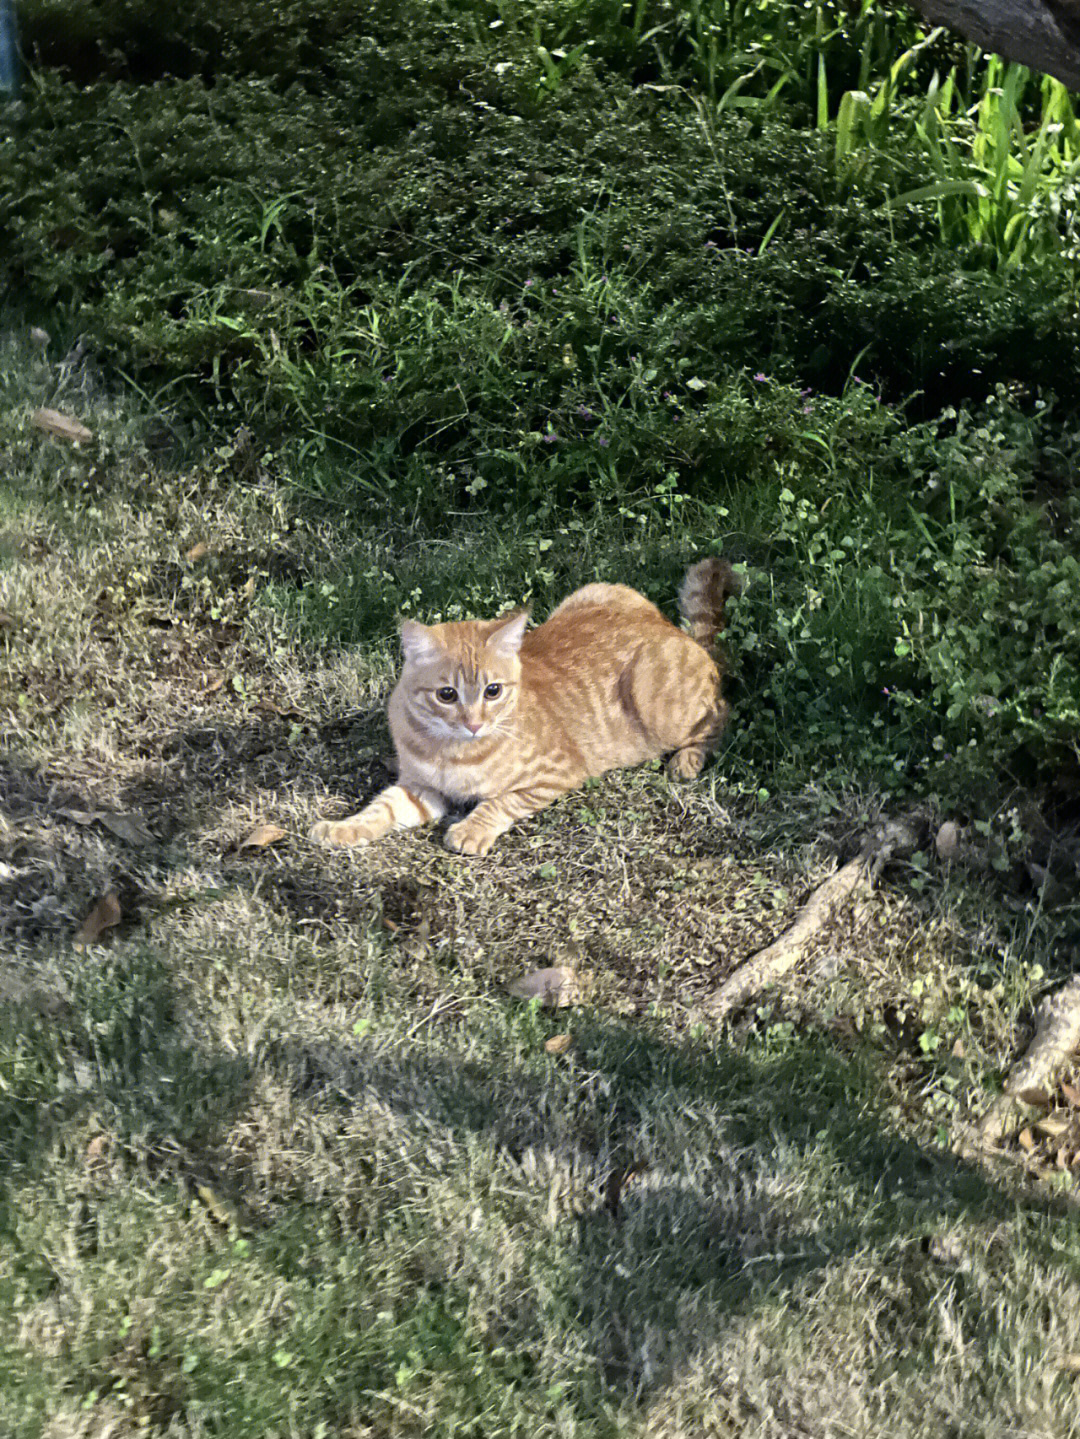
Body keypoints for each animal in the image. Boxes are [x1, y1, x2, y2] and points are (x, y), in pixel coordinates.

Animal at [307, 555, 742, 851]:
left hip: (658, 702)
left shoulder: (558, 773)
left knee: (722, 712)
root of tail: (677, 633)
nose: (474, 723)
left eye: (493, 690)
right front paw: (341, 828)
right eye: (447, 695)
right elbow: (381, 808)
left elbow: (500, 801)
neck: (451, 751)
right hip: (597, 589)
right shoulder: (420, 788)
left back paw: (687, 760)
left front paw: (470, 830)